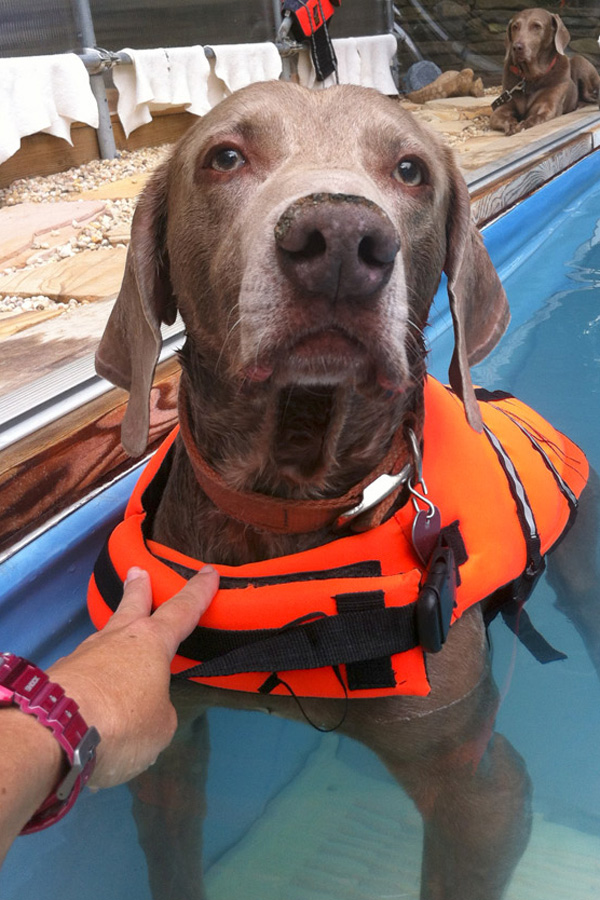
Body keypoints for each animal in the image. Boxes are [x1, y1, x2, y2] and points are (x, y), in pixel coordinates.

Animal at [95, 81, 600, 896]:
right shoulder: (165, 750)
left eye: (411, 170)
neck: (285, 498)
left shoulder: (479, 784)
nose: (338, 238)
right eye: (224, 157)